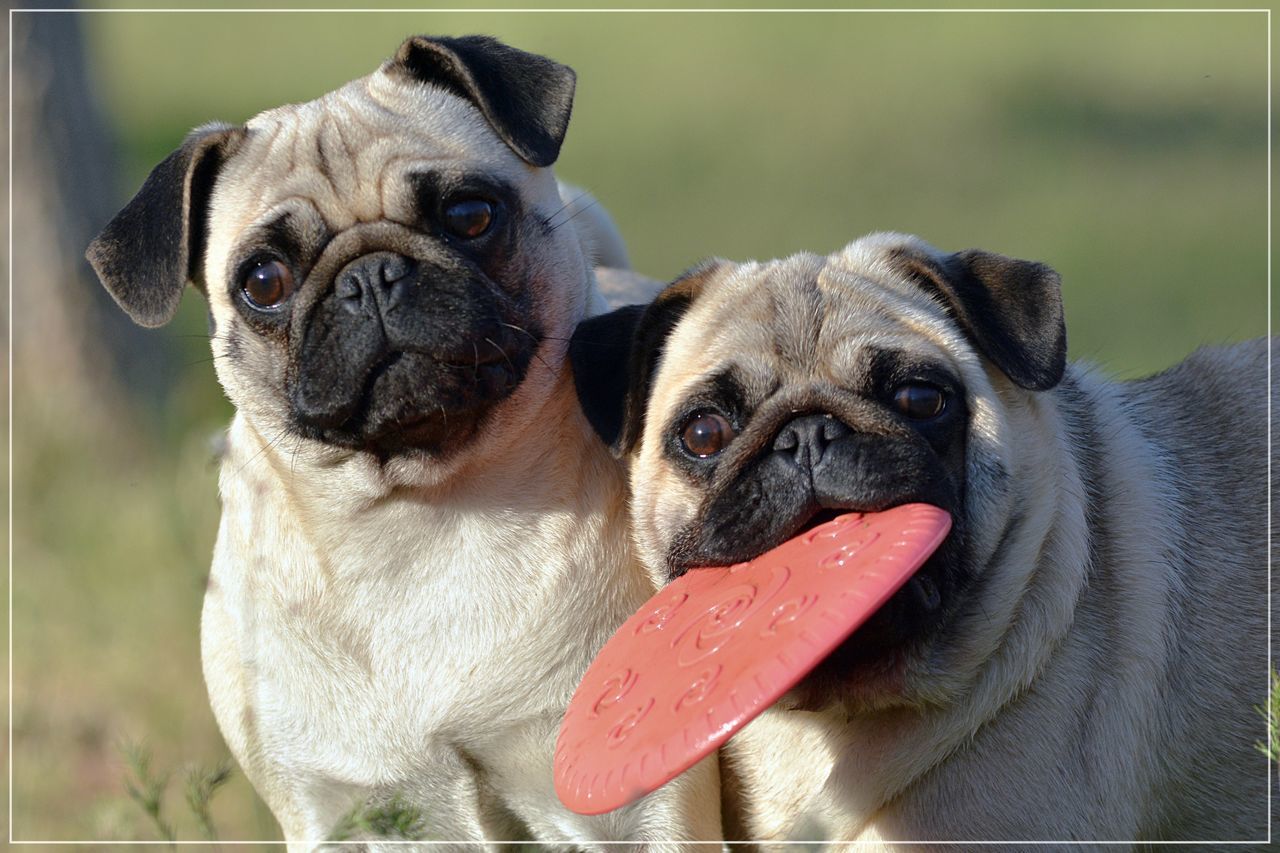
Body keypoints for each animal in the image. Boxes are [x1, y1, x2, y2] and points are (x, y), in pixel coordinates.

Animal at [88, 33, 721, 845]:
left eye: (471, 214)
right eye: (263, 281)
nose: (369, 276)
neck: (423, 516)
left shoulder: (633, 805)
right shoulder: (331, 811)